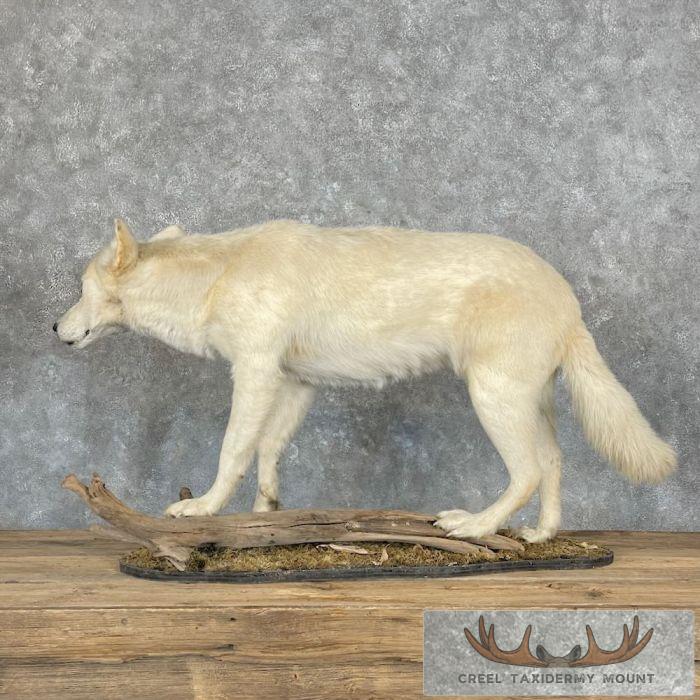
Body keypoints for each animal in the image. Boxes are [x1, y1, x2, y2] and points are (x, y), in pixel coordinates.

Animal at [54, 219, 676, 542]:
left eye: (79, 289)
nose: (54, 328)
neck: (217, 277)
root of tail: (568, 300)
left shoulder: (253, 371)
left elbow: (233, 451)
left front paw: (203, 511)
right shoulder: (294, 383)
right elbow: (269, 452)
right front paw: (266, 518)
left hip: (493, 400)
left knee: (526, 471)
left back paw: (473, 527)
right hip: (529, 403)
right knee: (553, 462)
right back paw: (540, 537)